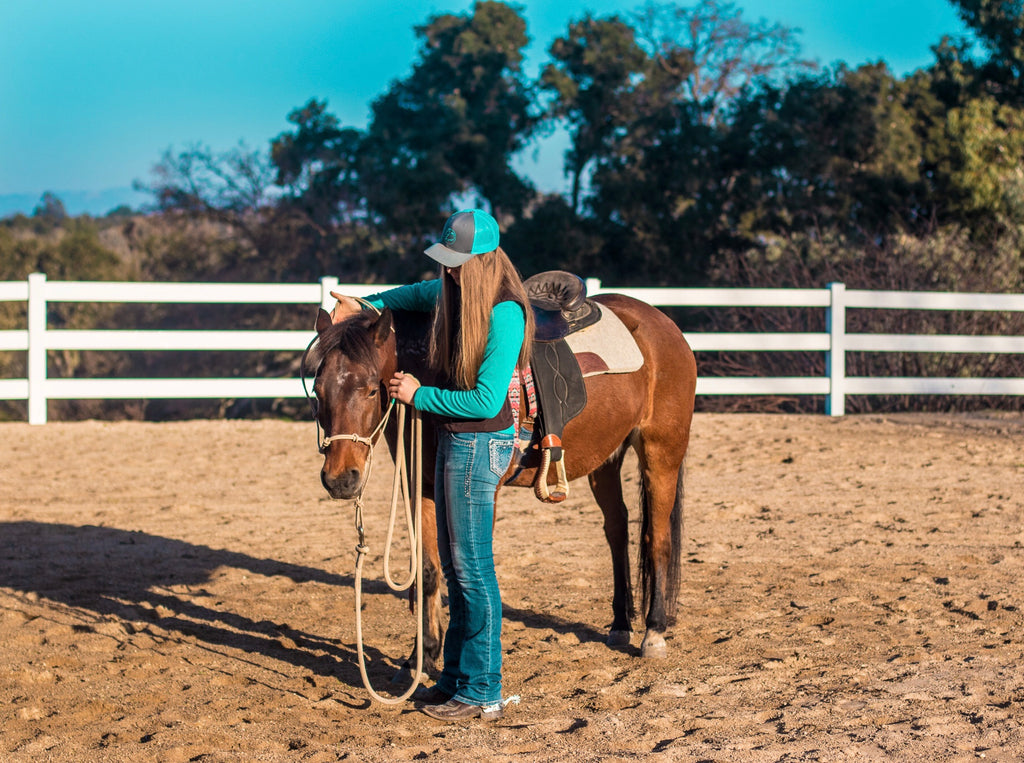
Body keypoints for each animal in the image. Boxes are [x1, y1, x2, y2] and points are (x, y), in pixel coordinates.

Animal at [303, 290, 700, 671]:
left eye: (372, 389)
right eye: (318, 390)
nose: (340, 480)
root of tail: (663, 324)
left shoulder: (481, 491)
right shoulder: (424, 487)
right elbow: (429, 571)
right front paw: (424, 655)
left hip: (661, 453)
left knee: (657, 539)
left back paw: (654, 632)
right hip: (606, 459)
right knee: (617, 531)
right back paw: (620, 624)